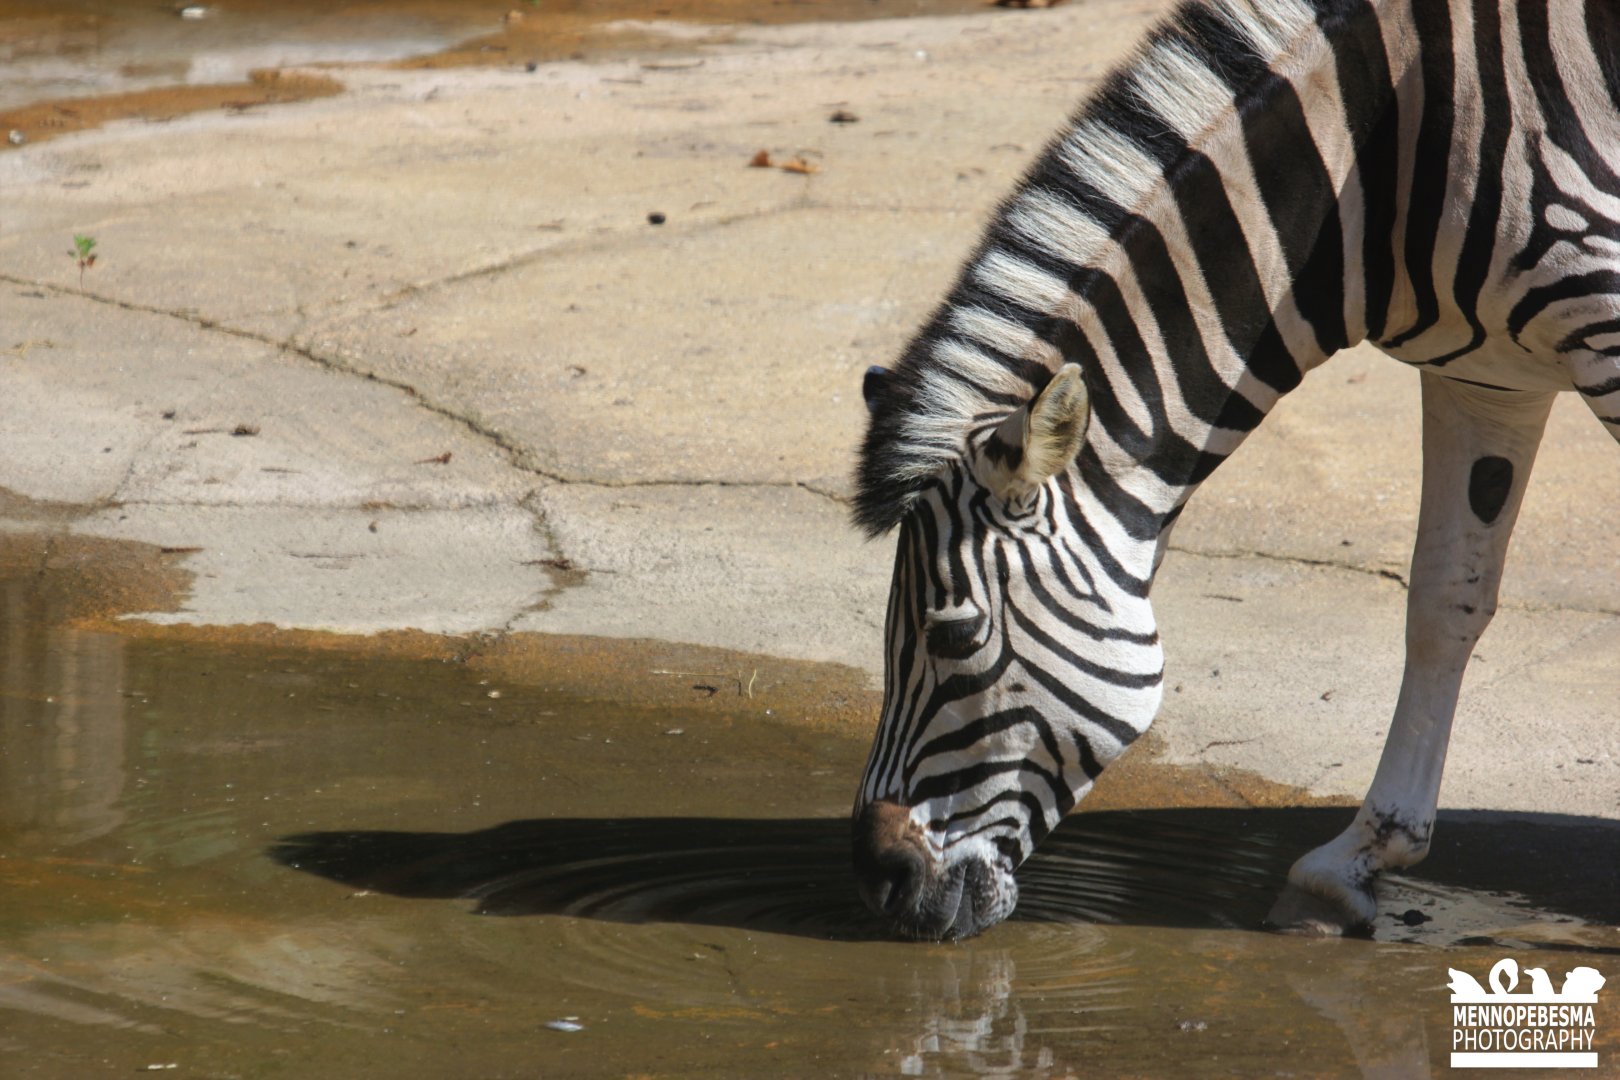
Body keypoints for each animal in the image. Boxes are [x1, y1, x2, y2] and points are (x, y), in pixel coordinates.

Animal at [850, 0, 1620, 940]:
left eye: (952, 636)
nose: (877, 882)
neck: (1383, 156)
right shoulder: (1487, 375)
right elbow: (1445, 602)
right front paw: (1353, 862)